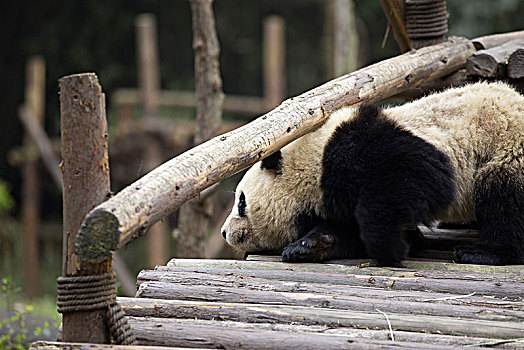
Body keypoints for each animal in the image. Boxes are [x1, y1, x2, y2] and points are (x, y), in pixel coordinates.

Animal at [221, 82, 524, 266]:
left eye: (242, 202)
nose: (225, 232)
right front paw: (312, 245)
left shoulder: (359, 151)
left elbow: (420, 176)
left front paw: (391, 247)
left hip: (507, 148)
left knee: (504, 196)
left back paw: (483, 252)